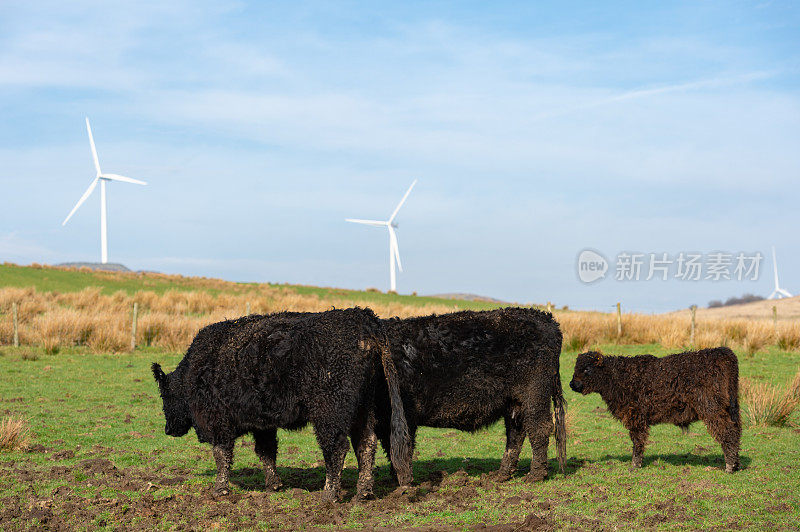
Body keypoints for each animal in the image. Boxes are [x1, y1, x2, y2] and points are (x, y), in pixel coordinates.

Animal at [152, 306, 412, 500]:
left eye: (164, 395)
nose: (167, 429)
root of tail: (362, 316)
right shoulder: (262, 423)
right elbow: (265, 452)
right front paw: (273, 485)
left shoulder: (217, 421)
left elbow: (221, 455)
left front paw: (220, 490)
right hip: (363, 407)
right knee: (366, 444)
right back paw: (364, 492)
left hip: (330, 409)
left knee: (336, 448)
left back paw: (329, 494)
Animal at [376, 308, 568, 482]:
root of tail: (547, 319)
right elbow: (390, 446)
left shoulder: (404, 414)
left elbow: (402, 446)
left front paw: (402, 481)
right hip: (514, 401)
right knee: (516, 433)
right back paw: (501, 475)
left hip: (534, 394)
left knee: (539, 428)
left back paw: (535, 476)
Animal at [572, 344, 740, 474]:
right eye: (575, 368)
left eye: (587, 369)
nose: (572, 384)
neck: (617, 378)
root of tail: (721, 352)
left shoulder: (636, 417)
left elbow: (637, 441)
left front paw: (635, 465)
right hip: (731, 407)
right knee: (737, 431)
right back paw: (736, 464)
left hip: (712, 408)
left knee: (728, 432)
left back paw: (729, 467)